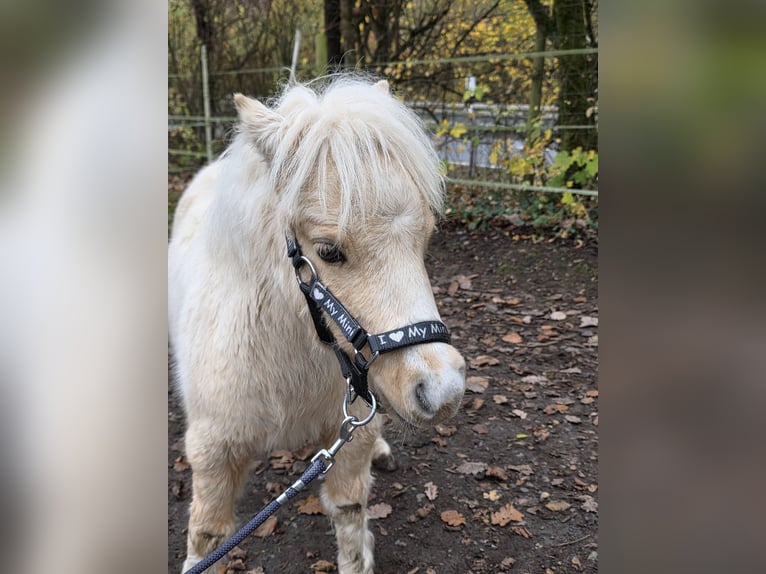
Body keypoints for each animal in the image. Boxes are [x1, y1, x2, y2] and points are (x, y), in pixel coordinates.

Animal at [168, 75, 466, 574]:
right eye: (329, 251)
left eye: (425, 236)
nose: (443, 393)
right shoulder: (213, 449)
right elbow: (206, 536)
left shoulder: (351, 433)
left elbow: (349, 514)